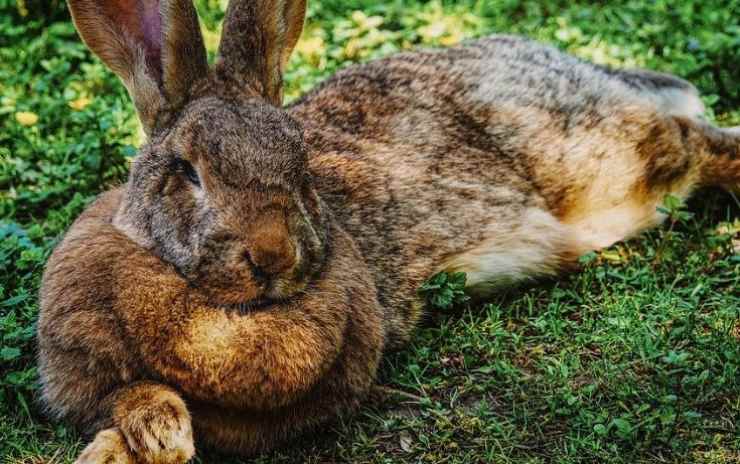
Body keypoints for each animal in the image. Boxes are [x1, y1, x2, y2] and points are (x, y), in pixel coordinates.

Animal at [40, 0, 740, 460]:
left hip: (608, 159)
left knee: (696, 144)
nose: (273, 256)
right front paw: (144, 439)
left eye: (300, 162)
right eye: (187, 172)